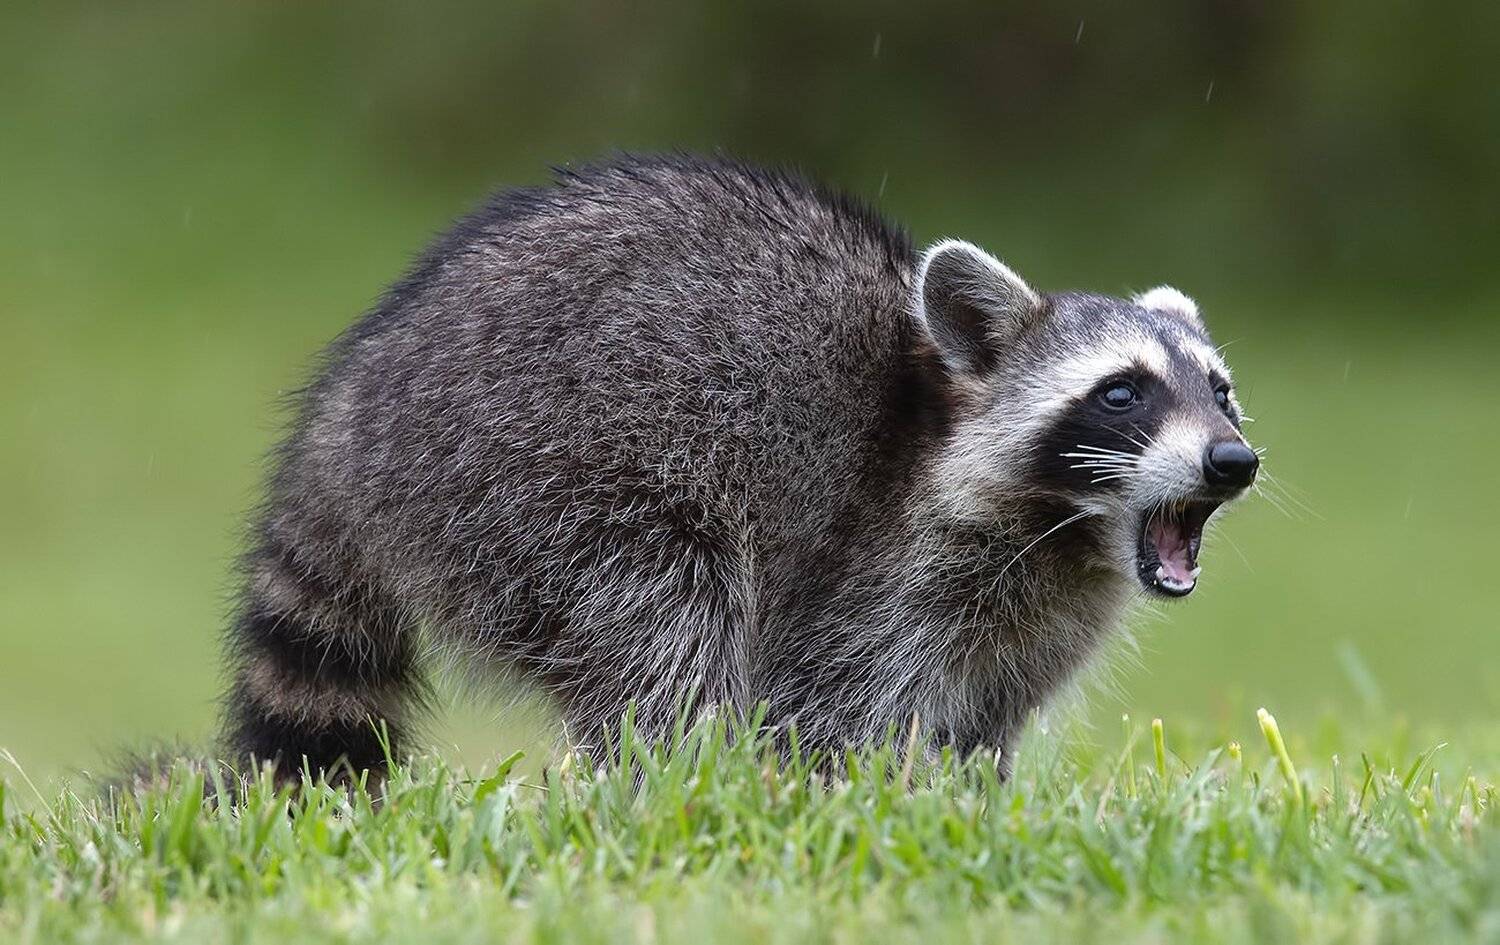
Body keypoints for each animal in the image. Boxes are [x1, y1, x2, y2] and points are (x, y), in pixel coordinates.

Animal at [222, 154, 1257, 780]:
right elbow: (827, 704)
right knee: (663, 621)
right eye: (1122, 394)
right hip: (544, 477)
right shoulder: (876, 564)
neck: (1067, 533)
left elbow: (982, 724)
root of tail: (352, 406)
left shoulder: (1034, 624)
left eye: (1221, 390)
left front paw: (968, 796)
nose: (1233, 460)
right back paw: (690, 777)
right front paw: (846, 794)